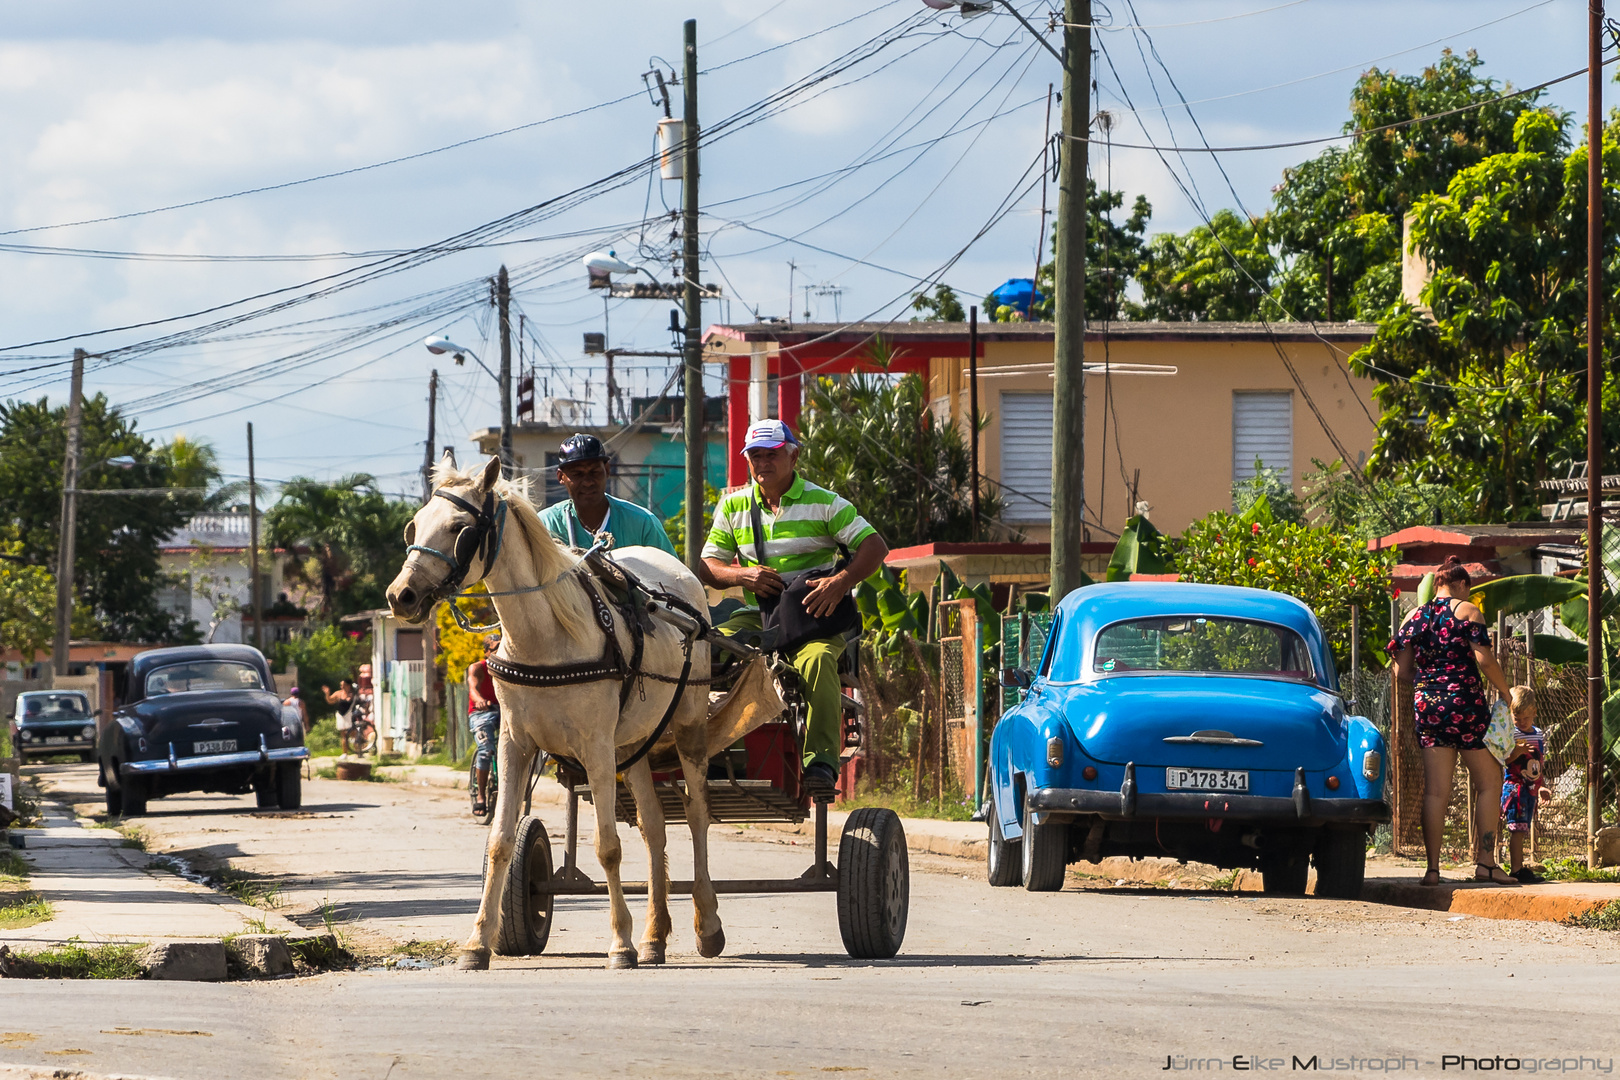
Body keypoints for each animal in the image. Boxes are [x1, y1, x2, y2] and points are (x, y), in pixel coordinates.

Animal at [385, 456, 722, 971]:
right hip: (634, 743)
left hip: (686, 727)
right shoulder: (514, 743)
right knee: (655, 827)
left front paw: (619, 943)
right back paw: (654, 935)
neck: (545, 637)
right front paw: (477, 942)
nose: (400, 595)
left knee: (698, 814)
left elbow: (607, 846)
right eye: (416, 525)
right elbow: (501, 841)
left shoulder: (597, 748)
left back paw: (706, 925)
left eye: (461, 529)